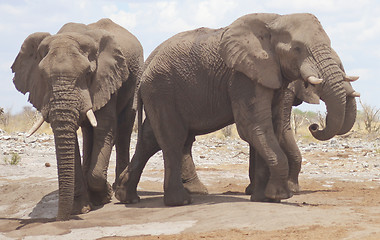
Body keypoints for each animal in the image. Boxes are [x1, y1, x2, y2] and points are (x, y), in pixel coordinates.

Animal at [11, 19, 143, 221]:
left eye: (88, 73)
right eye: (42, 76)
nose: (60, 219)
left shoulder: (105, 79)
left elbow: (105, 128)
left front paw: (104, 196)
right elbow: (70, 136)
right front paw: (82, 208)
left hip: (133, 82)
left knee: (124, 128)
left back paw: (118, 190)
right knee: (88, 133)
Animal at [114, 12, 358, 205]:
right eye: (297, 48)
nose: (314, 126)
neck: (275, 19)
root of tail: (145, 70)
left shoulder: (271, 76)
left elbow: (271, 127)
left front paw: (262, 197)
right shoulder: (243, 75)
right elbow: (254, 126)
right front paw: (279, 196)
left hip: (160, 95)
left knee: (150, 138)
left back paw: (126, 197)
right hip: (162, 89)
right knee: (173, 138)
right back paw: (180, 201)